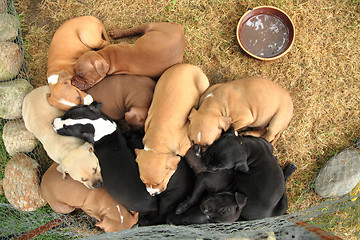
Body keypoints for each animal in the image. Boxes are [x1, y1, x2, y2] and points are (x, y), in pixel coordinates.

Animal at [134, 62, 210, 196]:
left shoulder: (185, 146)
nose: (152, 194)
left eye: (159, 182)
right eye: (143, 182)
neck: (158, 141)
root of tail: (188, 65)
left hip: (202, 84)